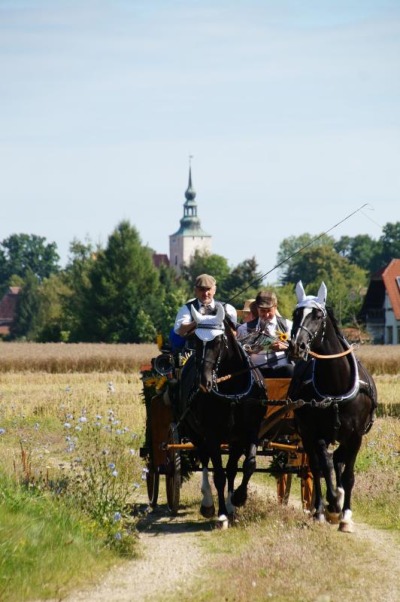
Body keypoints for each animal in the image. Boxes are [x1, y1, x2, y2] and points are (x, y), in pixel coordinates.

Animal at [179, 302, 268, 524]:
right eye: (195, 340)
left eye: (218, 340)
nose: (203, 382)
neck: (232, 389)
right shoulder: (212, 435)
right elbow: (218, 474)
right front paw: (221, 514)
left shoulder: (248, 432)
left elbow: (245, 466)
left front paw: (237, 499)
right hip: (195, 432)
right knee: (204, 460)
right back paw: (208, 503)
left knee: (228, 468)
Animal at [288, 282, 378, 528]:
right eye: (296, 314)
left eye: (318, 316)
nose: (297, 346)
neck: (336, 389)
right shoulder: (315, 432)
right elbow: (322, 467)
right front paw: (327, 505)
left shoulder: (356, 435)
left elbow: (348, 474)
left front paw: (345, 514)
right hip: (307, 435)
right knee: (320, 463)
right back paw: (325, 505)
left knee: (338, 460)